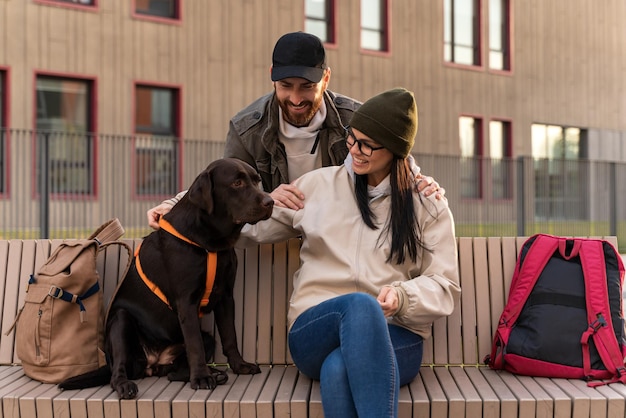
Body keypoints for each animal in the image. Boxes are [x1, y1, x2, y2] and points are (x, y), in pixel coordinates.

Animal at [58, 159, 270, 398]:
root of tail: (153, 361)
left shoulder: (225, 296)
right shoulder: (186, 301)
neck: (211, 243)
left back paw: (214, 374)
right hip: (120, 321)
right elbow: (194, 344)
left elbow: (229, 336)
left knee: (174, 373)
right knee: (118, 372)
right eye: (237, 183)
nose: (270, 201)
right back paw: (126, 385)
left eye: (257, 180)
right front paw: (201, 378)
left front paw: (239, 366)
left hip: (205, 338)